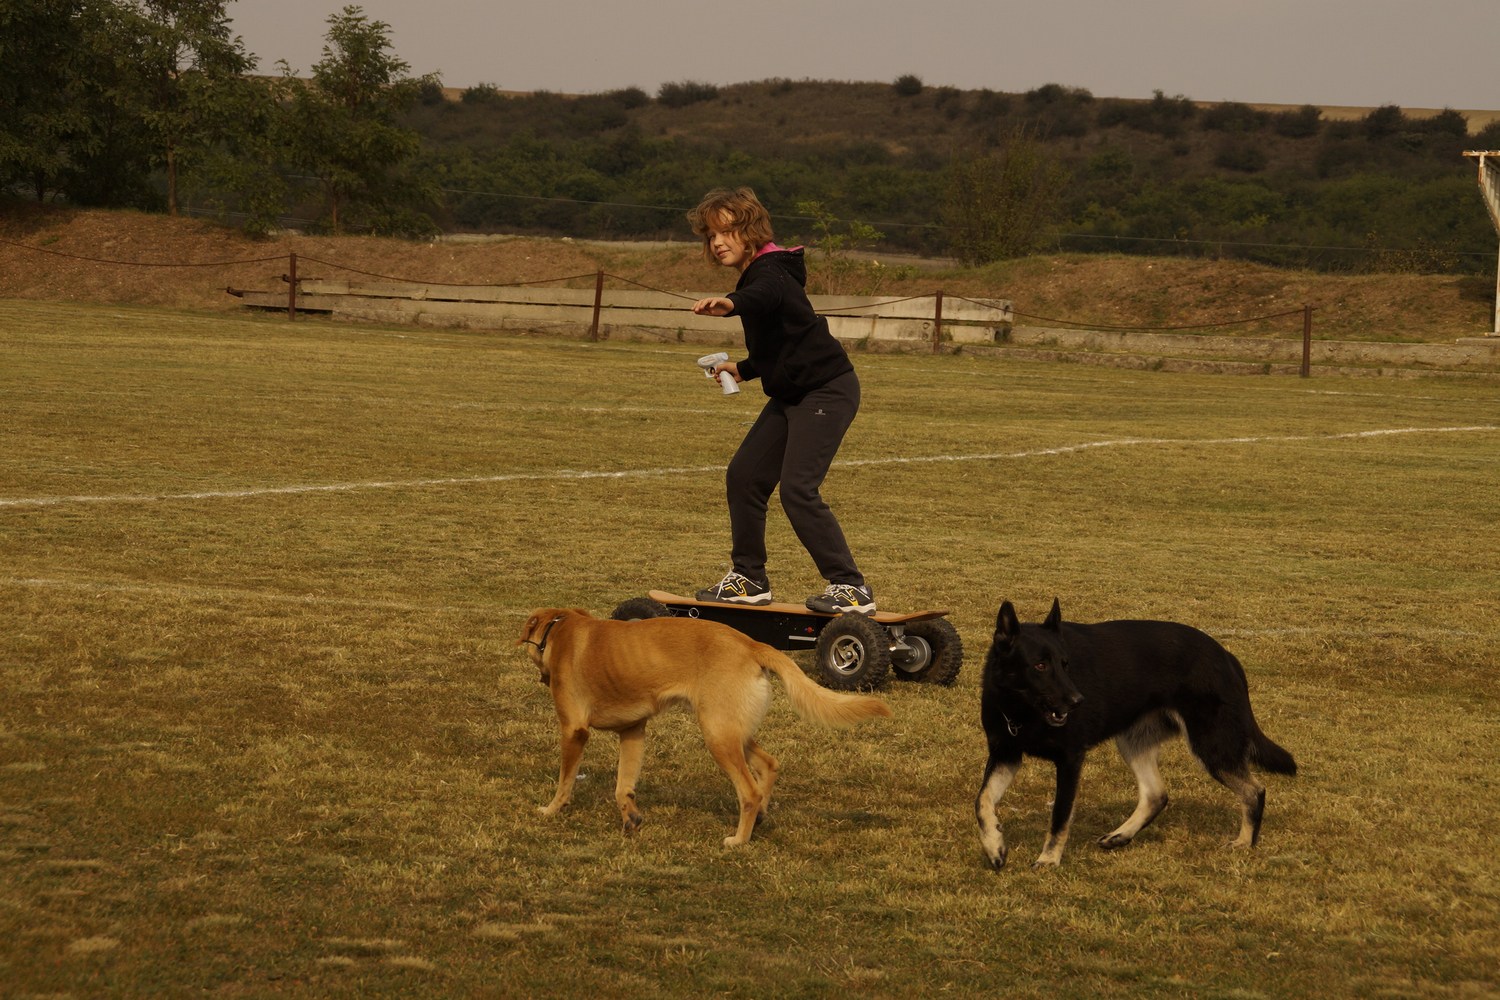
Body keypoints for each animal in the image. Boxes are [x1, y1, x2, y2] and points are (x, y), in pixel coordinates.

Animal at [519, 611, 888, 845]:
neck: (560, 629)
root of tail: (753, 645)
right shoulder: (633, 733)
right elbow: (623, 787)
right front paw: (630, 819)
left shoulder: (574, 731)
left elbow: (565, 781)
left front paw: (551, 809)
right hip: (731, 730)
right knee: (769, 764)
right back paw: (760, 818)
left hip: (717, 736)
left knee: (749, 791)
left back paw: (739, 840)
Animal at [978, 602, 1296, 869]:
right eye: (1040, 665)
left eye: (1065, 664)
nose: (1078, 701)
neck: (1021, 710)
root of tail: (1226, 656)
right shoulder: (1005, 755)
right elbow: (982, 801)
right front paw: (995, 845)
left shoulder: (1070, 761)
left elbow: (1059, 817)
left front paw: (1048, 860)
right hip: (1134, 742)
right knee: (1156, 794)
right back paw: (1120, 836)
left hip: (1211, 745)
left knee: (1254, 790)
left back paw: (1244, 842)